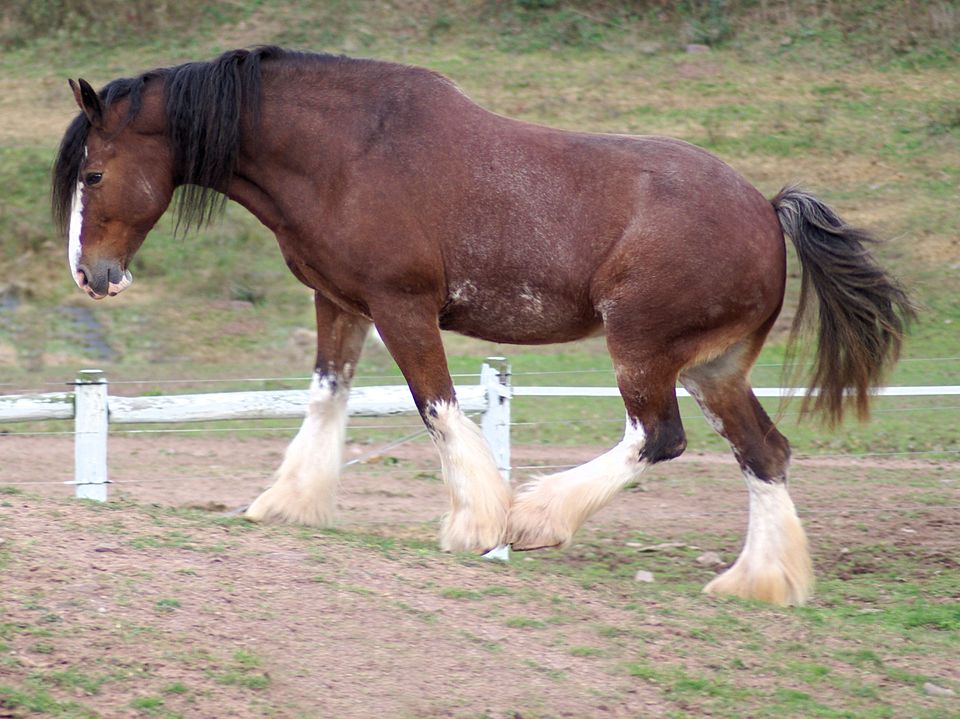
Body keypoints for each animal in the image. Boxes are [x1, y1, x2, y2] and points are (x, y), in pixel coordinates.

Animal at [53, 47, 912, 606]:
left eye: (93, 172)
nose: (91, 274)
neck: (350, 153)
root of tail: (766, 210)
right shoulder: (342, 304)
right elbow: (326, 397)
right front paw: (285, 502)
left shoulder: (402, 307)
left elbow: (437, 407)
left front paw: (479, 520)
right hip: (714, 366)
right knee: (763, 451)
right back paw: (760, 581)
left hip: (641, 347)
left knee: (656, 436)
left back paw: (536, 517)